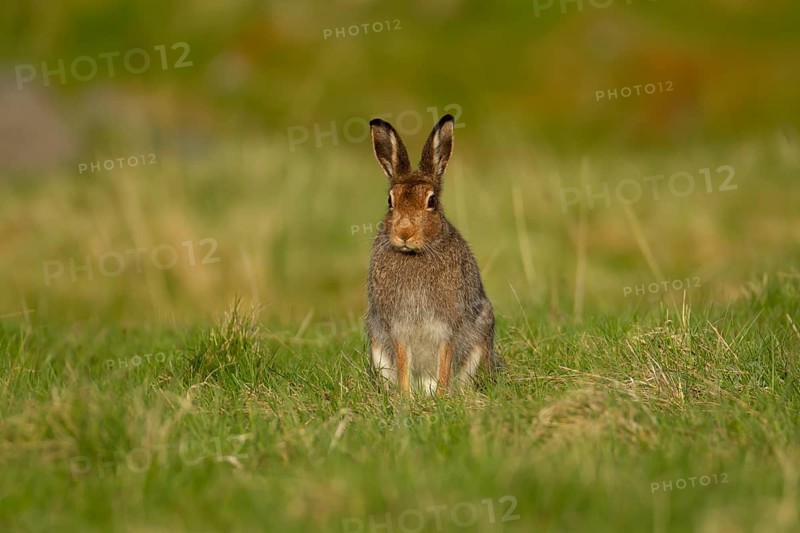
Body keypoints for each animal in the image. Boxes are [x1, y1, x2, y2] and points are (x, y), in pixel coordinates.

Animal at [365, 114, 499, 395]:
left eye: (432, 201)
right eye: (390, 201)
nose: (404, 232)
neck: (415, 254)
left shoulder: (448, 326)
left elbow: (445, 361)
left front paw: (442, 396)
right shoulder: (398, 329)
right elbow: (403, 362)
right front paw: (406, 397)